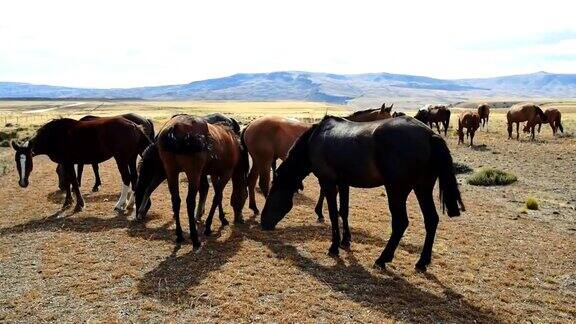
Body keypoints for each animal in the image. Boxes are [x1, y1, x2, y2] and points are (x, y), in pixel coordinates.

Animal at [12, 116, 151, 213]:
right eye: (17, 161)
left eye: (28, 161)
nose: (23, 182)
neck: (54, 135)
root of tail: (134, 125)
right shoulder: (66, 163)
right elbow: (69, 181)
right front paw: (67, 202)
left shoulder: (68, 162)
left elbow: (74, 181)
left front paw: (79, 204)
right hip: (131, 158)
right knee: (134, 178)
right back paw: (130, 203)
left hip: (121, 159)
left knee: (127, 178)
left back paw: (120, 204)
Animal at [158, 114, 248, 246]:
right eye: (245, 196)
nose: (240, 218)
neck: (233, 143)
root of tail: (173, 127)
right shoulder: (226, 173)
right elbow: (217, 197)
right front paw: (208, 226)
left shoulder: (215, 174)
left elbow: (219, 196)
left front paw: (222, 218)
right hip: (193, 174)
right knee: (190, 202)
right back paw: (195, 238)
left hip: (171, 172)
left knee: (176, 200)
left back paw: (179, 235)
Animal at [241, 102, 394, 216]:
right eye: (386, 118)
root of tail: (250, 125)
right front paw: (321, 212)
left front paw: (320, 211)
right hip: (265, 160)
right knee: (263, 184)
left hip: (258, 160)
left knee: (251, 180)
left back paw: (254, 208)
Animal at [260, 115, 464, 272]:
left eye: (272, 194)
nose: (263, 223)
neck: (314, 140)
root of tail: (430, 134)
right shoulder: (343, 183)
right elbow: (343, 211)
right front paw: (345, 241)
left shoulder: (328, 182)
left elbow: (333, 214)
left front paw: (334, 247)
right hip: (422, 188)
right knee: (431, 220)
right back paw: (422, 262)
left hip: (396, 190)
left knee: (400, 223)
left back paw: (382, 259)